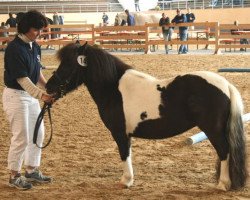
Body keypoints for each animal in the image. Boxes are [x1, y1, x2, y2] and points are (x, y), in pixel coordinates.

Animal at [46, 42, 247, 191]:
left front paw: (126, 181)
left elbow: (124, 154)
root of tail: (226, 84)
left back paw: (223, 184)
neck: (113, 88)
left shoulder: (120, 133)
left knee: (224, 151)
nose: (48, 86)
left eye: (68, 65)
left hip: (213, 130)